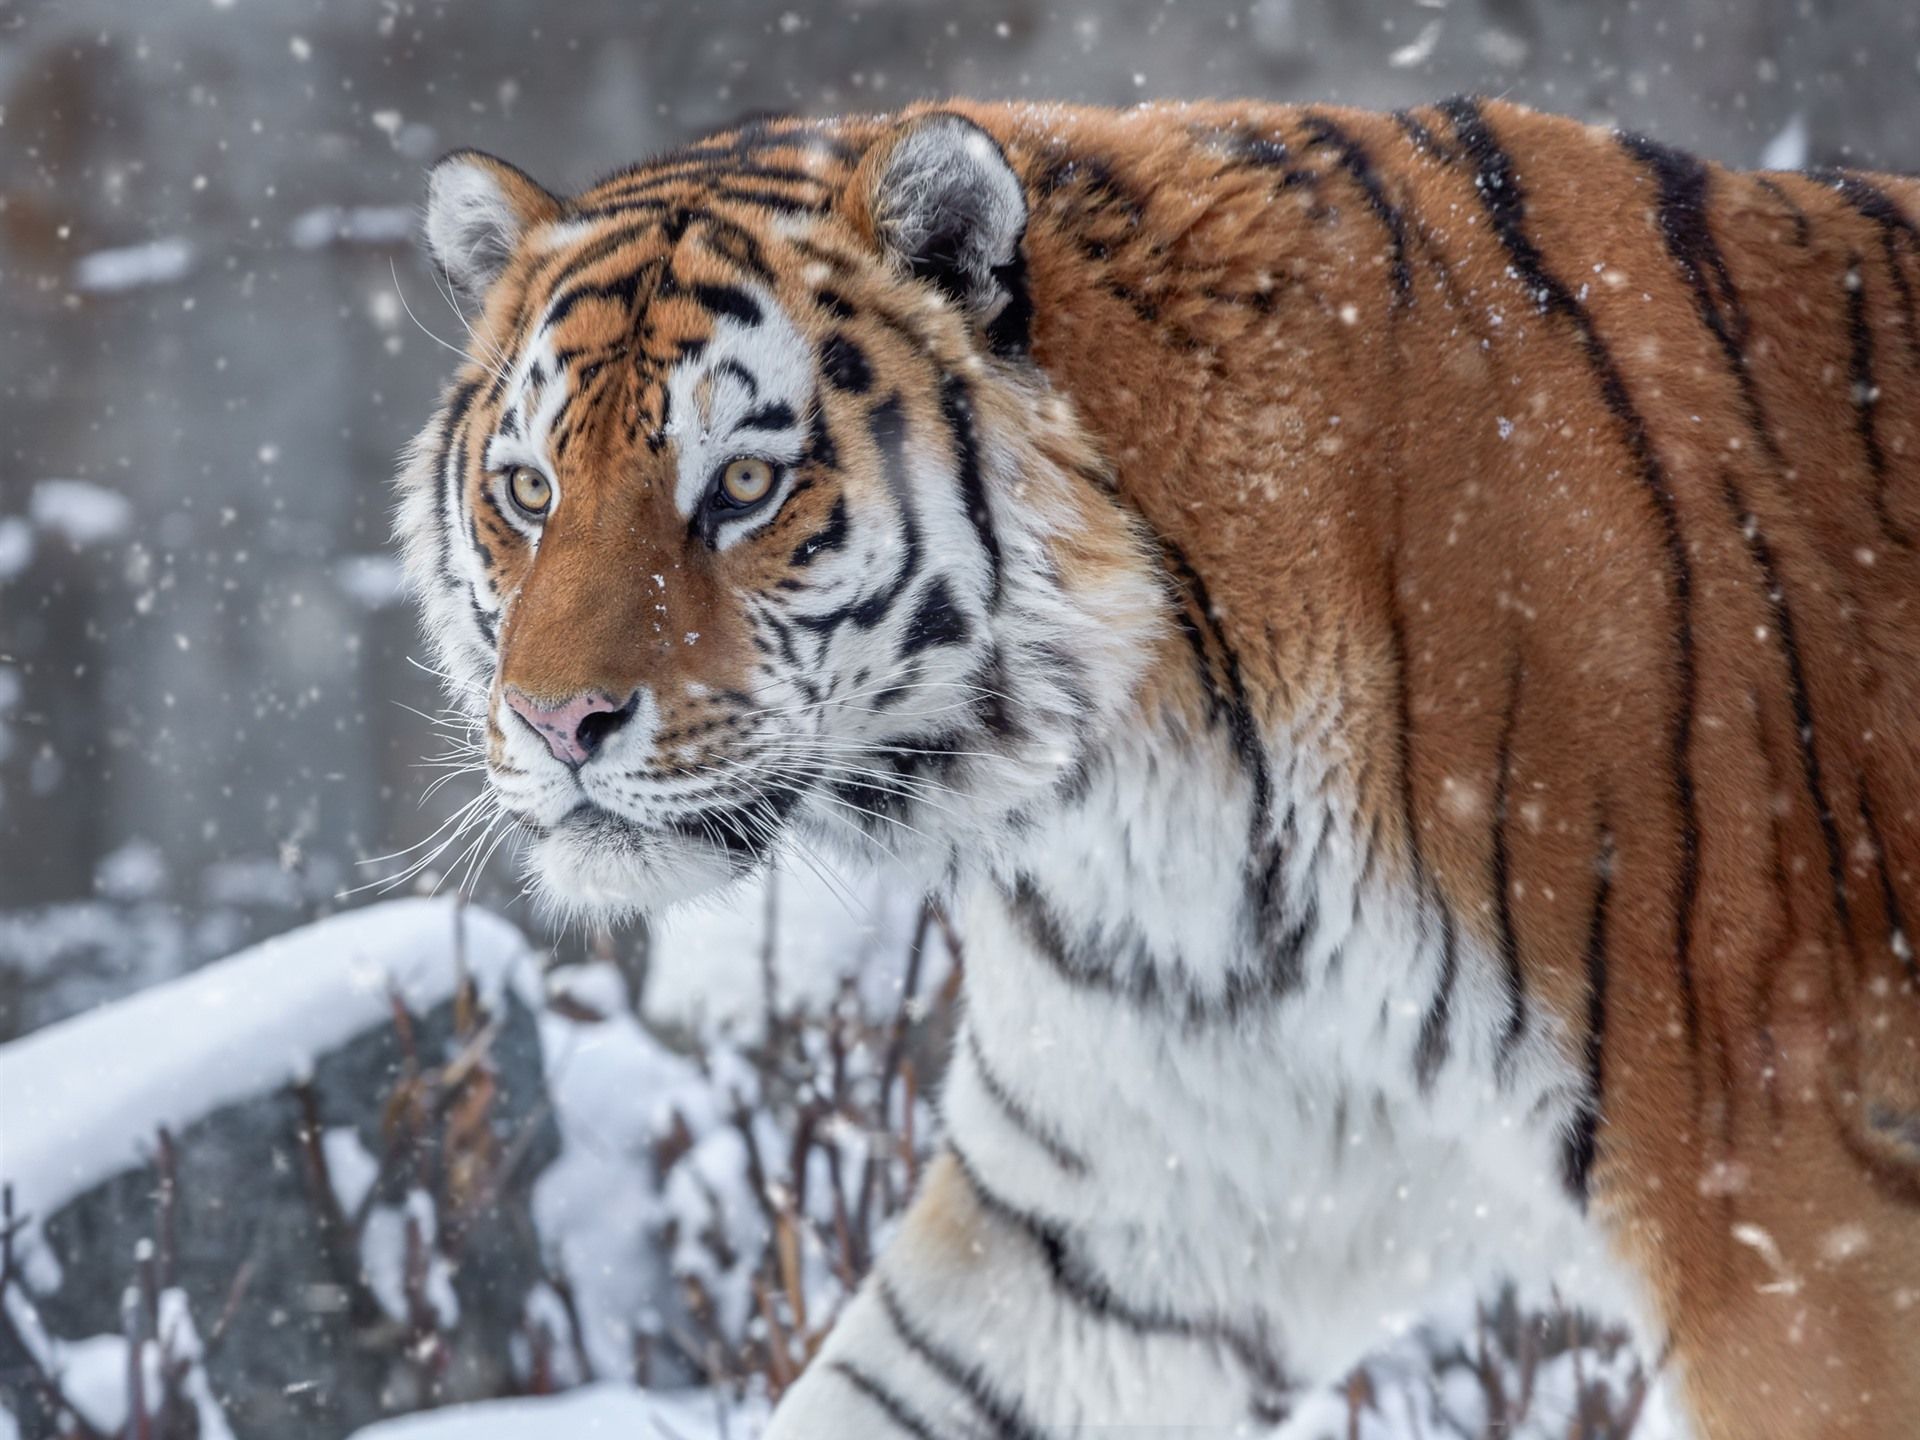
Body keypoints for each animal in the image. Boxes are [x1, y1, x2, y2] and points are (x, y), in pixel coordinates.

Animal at [396, 96, 1920, 1437]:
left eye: (745, 487)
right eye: (529, 490)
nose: (558, 722)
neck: (1150, 790)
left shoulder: (1791, 1230)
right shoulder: (1130, 1216)